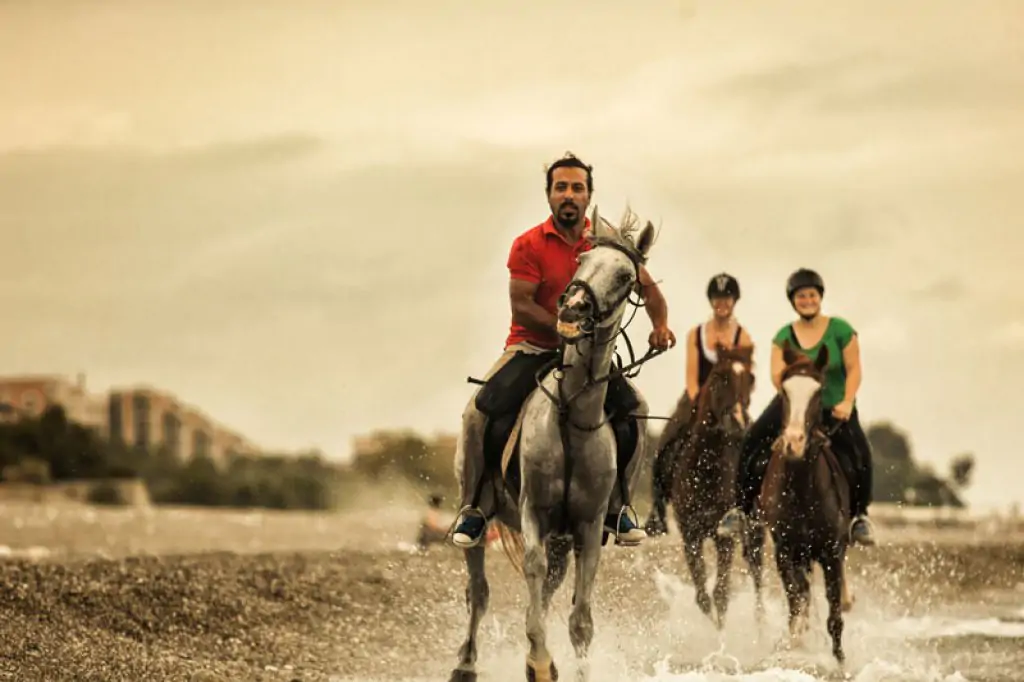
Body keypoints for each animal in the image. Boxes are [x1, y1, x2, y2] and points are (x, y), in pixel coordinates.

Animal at [667, 346, 765, 626]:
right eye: (720, 376)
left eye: (751, 378)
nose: (738, 421)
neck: (707, 470)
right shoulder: (690, 534)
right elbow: (702, 596)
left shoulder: (725, 537)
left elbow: (721, 593)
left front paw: (720, 631)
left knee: (757, 577)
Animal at [745, 342, 847, 659]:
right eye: (784, 391)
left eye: (818, 391)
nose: (794, 442)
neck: (803, 490)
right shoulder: (785, 551)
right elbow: (796, 601)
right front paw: (795, 642)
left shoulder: (832, 553)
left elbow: (834, 616)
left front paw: (840, 661)